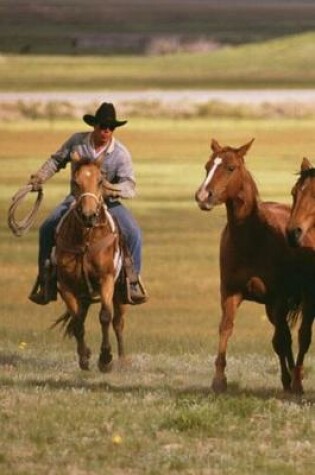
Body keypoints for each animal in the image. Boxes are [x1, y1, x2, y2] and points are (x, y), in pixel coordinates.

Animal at [54, 154, 127, 374]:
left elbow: (105, 316)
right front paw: (85, 357)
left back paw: (123, 360)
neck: (85, 240)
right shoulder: (66, 286)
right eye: (75, 182)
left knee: (118, 322)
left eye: (100, 181)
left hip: (120, 292)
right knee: (81, 317)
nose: (88, 215)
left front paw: (105, 359)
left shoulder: (106, 280)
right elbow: (77, 321)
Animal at [196, 140, 302, 394]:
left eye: (231, 167)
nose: (203, 195)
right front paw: (219, 380)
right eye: (207, 166)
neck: (252, 238)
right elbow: (225, 329)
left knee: (284, 336)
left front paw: (290, 381)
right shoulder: (231, 293)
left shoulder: (278, 299)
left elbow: (280, 340)